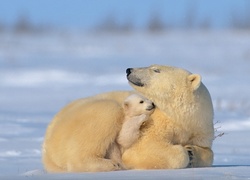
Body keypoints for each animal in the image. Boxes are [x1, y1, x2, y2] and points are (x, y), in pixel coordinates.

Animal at [42, 64, 214, 172]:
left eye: (156, 70)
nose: (129, 69)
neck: (183, 118)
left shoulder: (201, 129)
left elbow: (209, 152)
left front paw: (192, 152)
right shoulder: (153, 122)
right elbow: (143, 148)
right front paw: (184, 153)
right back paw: (110, 164)